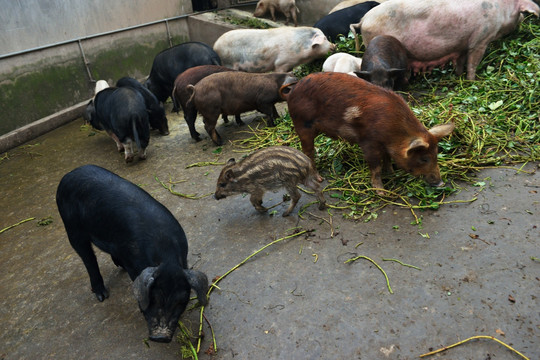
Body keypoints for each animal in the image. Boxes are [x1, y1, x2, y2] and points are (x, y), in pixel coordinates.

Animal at [56, 165, 209, 342]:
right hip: (71, 227)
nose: (161, 336)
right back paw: (102, 295)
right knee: (87, 257)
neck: (165, 255)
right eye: (153, 298)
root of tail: (68, 175)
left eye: (181, 301)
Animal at [280, 72, 454, 194]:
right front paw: (381, 192)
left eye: (436, 153)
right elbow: (375, 166)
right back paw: (319, 178)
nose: (440, 182)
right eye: (424, 158)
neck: (393, 131)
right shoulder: (368, 142)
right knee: (308, 152)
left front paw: (391, 173)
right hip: (302, 125)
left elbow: (387, 159)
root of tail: (292, 90)